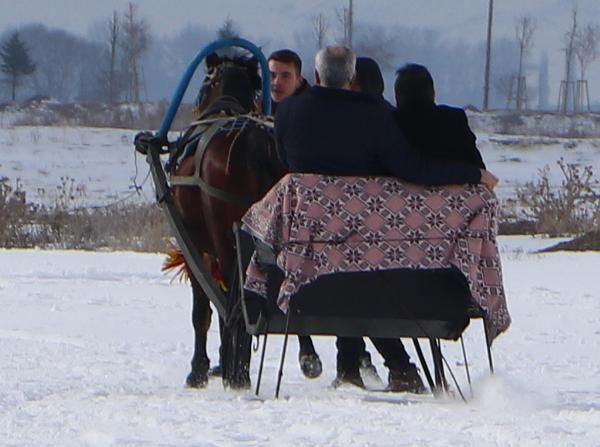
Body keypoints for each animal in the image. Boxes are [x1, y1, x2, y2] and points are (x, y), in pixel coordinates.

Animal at [164, 52, 322, 388]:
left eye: (204, 82)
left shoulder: (196, 244)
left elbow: (203, 308)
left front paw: (201, 368)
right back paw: (306, 358)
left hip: (223, 237)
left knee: (234, 298)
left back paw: (236, 371)